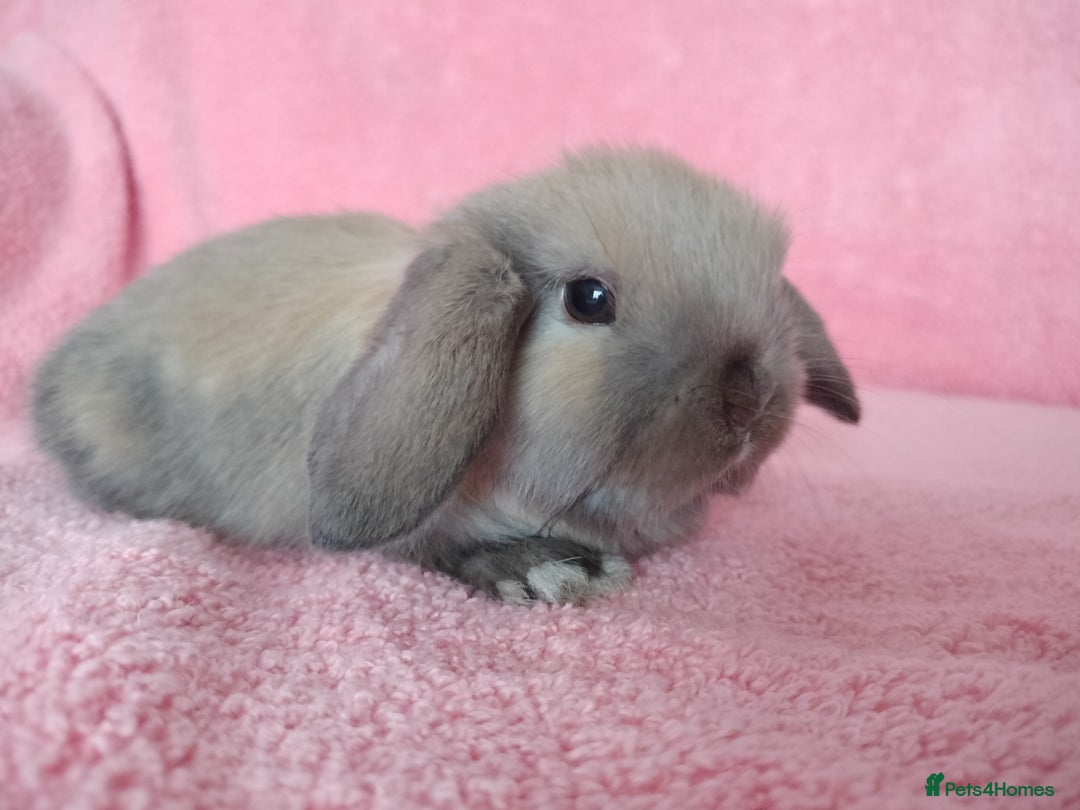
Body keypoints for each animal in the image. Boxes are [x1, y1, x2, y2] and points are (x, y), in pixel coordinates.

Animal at [32, 146, 860, 605]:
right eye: (588, 299)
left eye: (769, 284)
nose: (749, 397)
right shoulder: (417, 536)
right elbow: (441, 551)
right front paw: (551, 574)